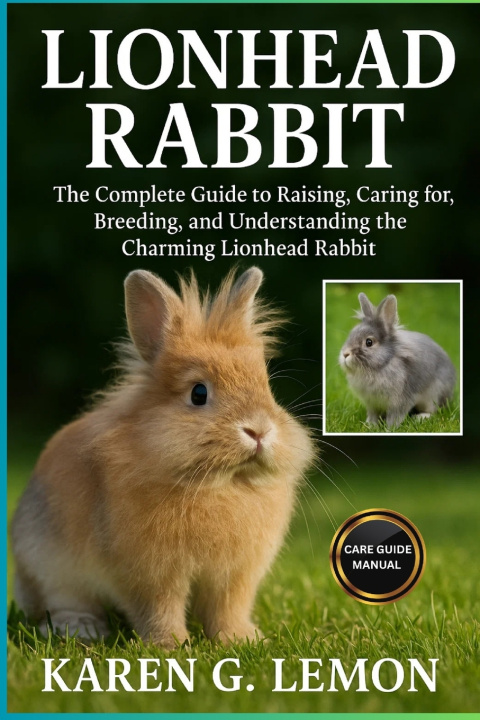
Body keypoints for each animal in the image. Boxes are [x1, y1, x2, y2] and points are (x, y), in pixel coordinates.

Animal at [11, 267, 315, 648]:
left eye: (267, 388)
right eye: (198, 393)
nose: (258, 431)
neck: (220, 484)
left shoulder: (234, 576)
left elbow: (228, 609)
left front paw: (241, 640)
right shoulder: (150, 574)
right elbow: (159, 609)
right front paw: (170, 645)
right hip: (52, 567)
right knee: (62, 604)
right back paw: (82, 629)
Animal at [339, 292, 456, 428]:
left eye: (369, 342)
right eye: (351, 335)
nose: (345, 354)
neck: (383, 365)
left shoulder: (400, 401)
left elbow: (395, 416)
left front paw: (389, 428)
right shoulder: (372, 403)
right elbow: (373, 415)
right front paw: (370, 425)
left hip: (434, 395)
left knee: (434, 410)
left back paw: (421, 417)